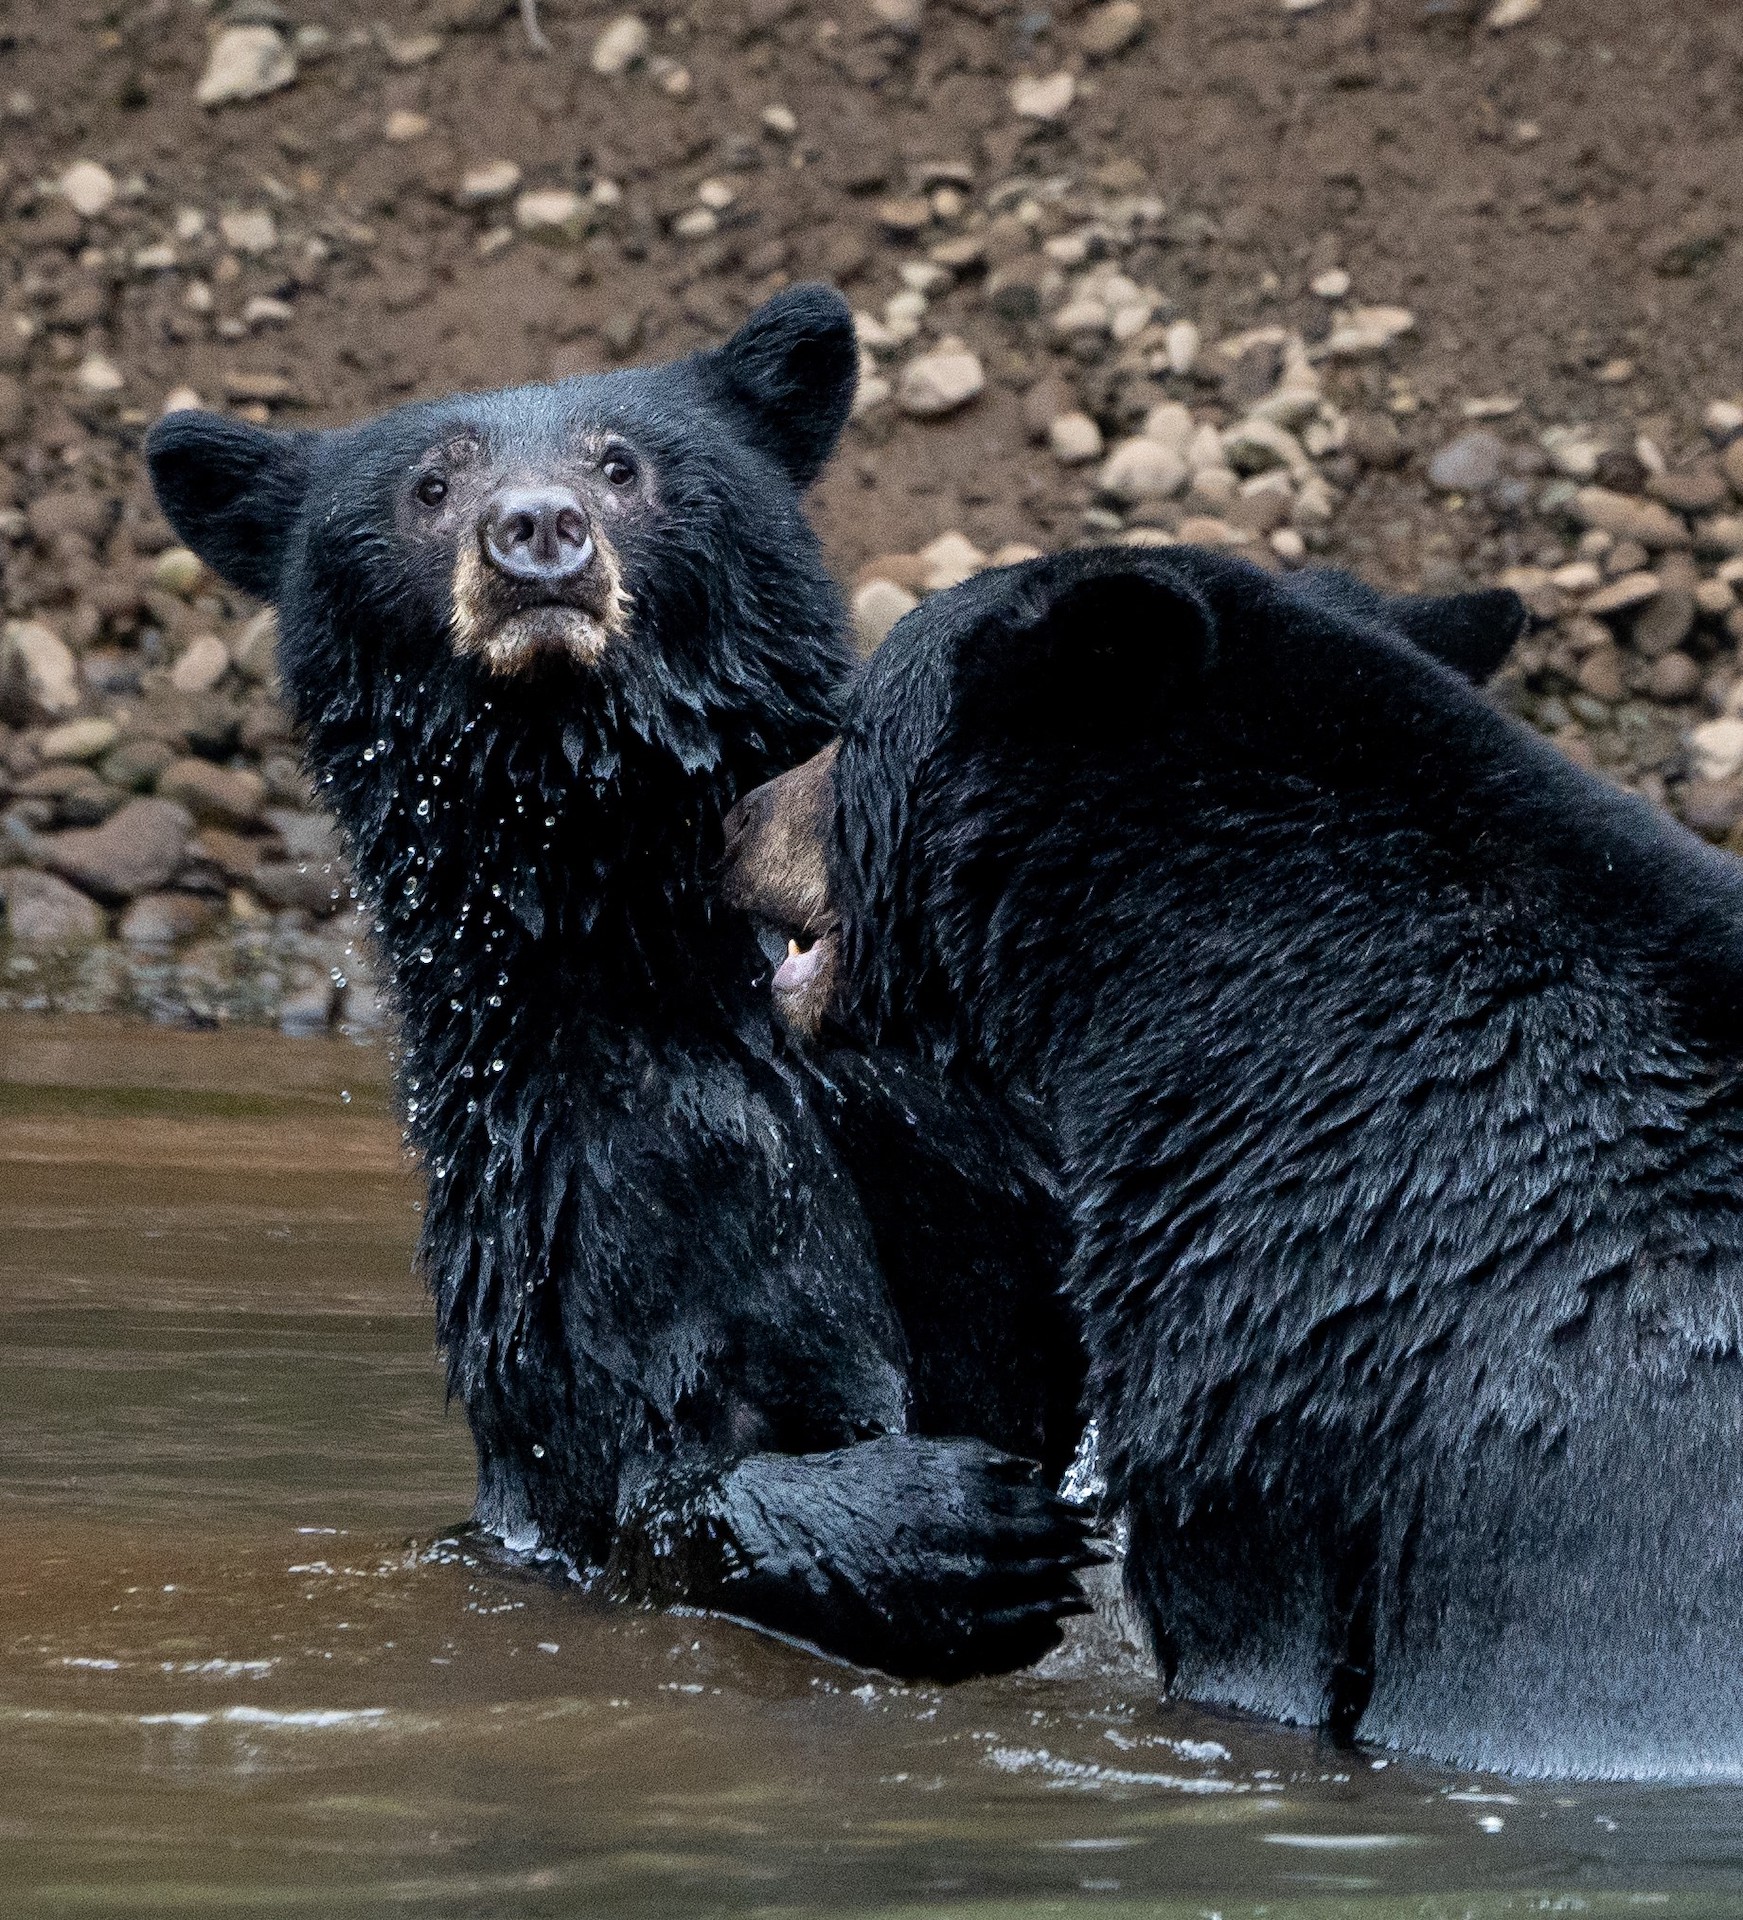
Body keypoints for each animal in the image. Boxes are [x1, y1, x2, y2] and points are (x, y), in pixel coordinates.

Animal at [143, 288, 1090, 1681]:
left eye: (620, 463)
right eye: (432, 484)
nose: (536, 532)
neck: (645, 902)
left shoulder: (982, 1099)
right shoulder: (593, 1159)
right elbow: (672, 1428)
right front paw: (951, 1525)